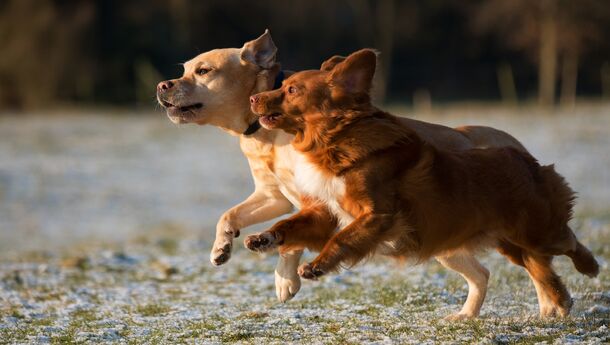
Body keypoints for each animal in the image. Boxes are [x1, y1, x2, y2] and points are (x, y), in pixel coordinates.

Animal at [157, 31, 528, 304]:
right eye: (184, 69)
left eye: (204, 71)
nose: (163, 85)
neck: (264, 134)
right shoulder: (273, 195)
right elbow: (229, 215)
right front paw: (221, 248)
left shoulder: (312, 199)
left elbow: (292, 241)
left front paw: (284, 280)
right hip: (438, 242)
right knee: (481, 274)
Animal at [245, 48, 596, 318]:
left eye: (292, 90)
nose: (252, 98)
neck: (333, 141)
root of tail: (525, 158)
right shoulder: (326, 213)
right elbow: (290, 224)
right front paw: (263, 238)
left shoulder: (378, 214)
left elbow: (343, 239)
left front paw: (317, 265)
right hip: (506, 243)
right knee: (530, 271)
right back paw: (547, 305)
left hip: (536, 232)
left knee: (568, 241)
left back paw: (589, 268)